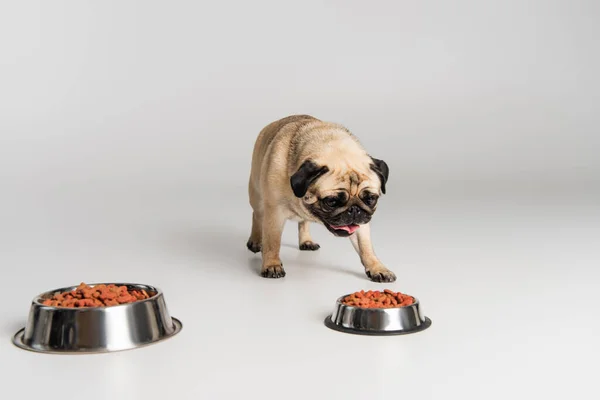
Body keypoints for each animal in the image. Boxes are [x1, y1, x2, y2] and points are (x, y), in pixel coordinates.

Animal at [246, 114, 396, 282]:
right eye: (331, 202)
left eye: (370, 199)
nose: (354, 210)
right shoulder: (274, 213)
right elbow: (272, 242)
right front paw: (272, 264)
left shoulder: (361, 225)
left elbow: (366, 247)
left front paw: (377, 268)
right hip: (257, 196)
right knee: (257, 215)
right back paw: (255, 241)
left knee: (303, 222)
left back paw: (306, 241)